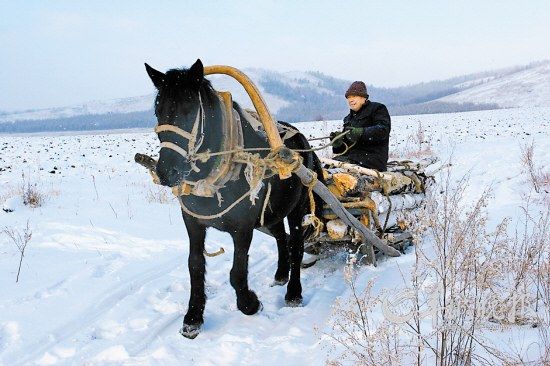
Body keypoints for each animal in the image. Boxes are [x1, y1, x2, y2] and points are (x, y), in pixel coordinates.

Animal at [147, 59, 326, 338]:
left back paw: (293, 293)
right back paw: (280, 274)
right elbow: (195, 266)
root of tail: (302, 141)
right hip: (271, 212)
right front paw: (193, 317)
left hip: (298, 208)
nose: (166, 172)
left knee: (295, 245)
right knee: (282, 238)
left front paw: (250, 304)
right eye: (158, 111)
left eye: (189, 110)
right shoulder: (193, 222)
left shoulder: (242, 226)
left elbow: (237, 271)